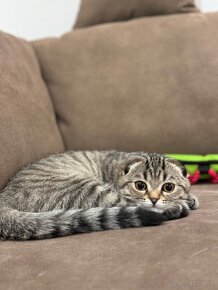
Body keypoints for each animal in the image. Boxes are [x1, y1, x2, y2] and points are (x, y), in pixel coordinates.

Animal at [0, 150, 198, 240]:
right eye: (140, 185)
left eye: (168, 187)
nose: (154, 199)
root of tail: (4, 197)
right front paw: (181, 203)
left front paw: (189, 197)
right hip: (87, 189)